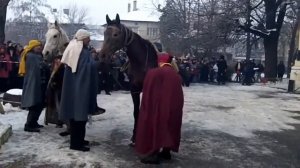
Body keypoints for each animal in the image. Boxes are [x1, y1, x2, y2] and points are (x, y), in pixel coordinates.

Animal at [99, 13, 158, 144]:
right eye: (104, 33)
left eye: (116, 34)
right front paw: (134, 136)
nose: (102, 55)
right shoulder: (134, 90)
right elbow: (136, 112)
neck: (141, 63)